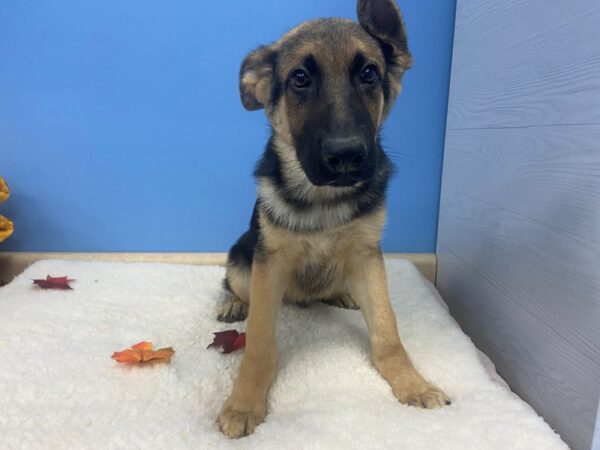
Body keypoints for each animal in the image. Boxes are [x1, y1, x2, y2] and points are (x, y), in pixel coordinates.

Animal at [218, 0, 448, 438]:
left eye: (369, 74)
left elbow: (387, 331)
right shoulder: (270, 263)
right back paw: (234, 304)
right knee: (238, 288)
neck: (324, 199)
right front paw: (243, 404)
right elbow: (258, 343)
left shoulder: (367, 256)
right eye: (300, 79)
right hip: (242, 257)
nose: (346, 156)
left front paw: (413, 384)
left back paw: (342, 294)